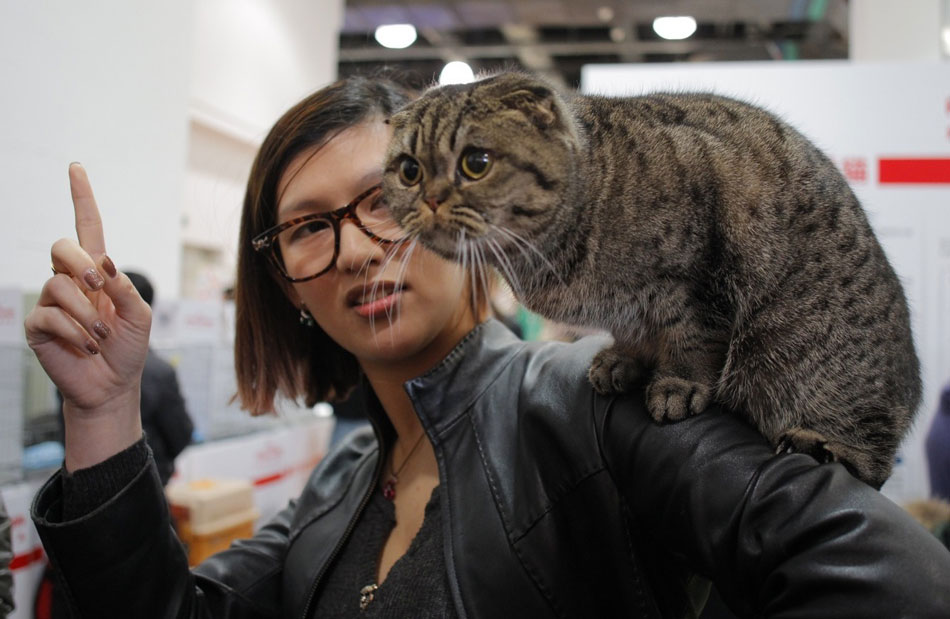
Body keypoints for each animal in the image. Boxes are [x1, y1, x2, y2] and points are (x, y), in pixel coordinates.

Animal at [380, 72, 924, 490]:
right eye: (409, 171)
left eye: (476, 163)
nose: (430, 199)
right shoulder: (630, 309)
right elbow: (635, 333)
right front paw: (624, 360)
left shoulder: (696, 280)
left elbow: (694, 340)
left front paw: (677, 382)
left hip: (817, 363)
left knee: (871, 459)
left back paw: (823, 445)